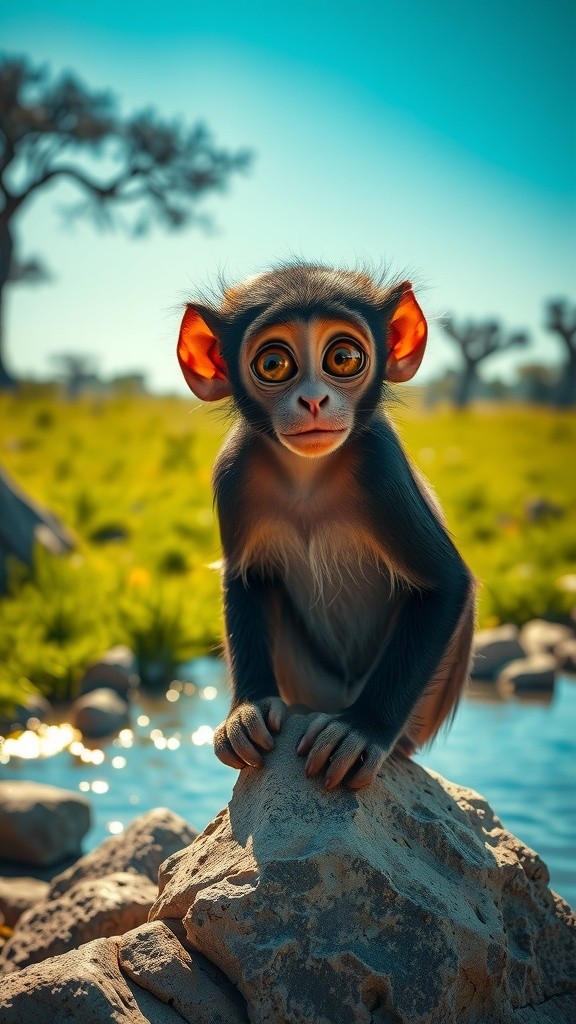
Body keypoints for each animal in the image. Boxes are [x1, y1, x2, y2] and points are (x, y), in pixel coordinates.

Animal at [177, 263, 476, 790]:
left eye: (343, 357)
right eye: (274, 363)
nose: (313, 399)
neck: (307, 479)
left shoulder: (380, 465)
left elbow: (446, 584)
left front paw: (361, 732)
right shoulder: (233, 468)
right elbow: (247, 577)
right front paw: (247, 711)